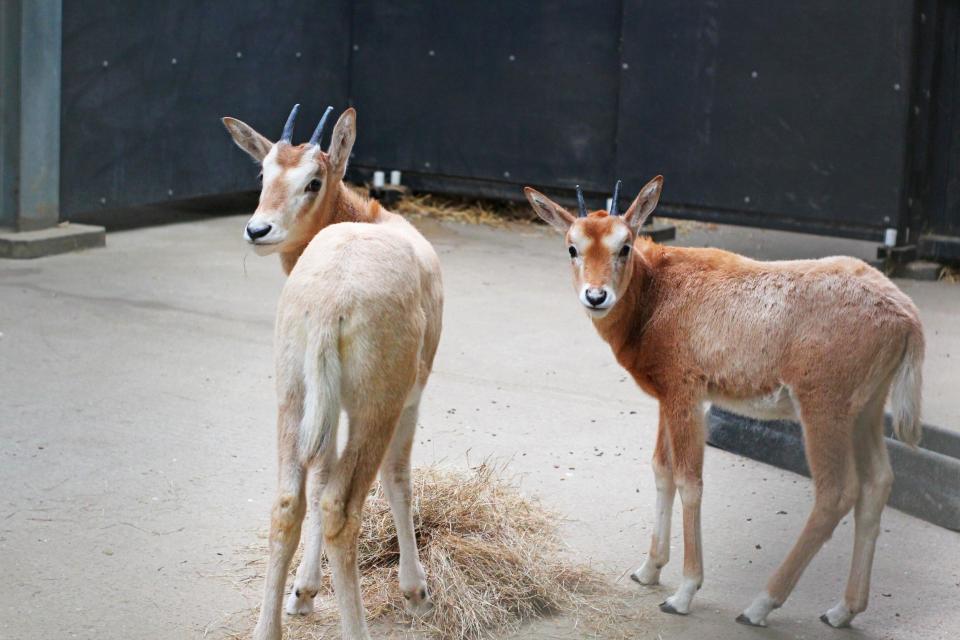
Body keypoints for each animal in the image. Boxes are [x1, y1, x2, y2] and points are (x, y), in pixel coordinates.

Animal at [221, 106, 442, 640]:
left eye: (312, 181)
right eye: (264, 174)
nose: (258, 230)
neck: (368, 219)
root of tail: (329, 303)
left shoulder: (324, 409)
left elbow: (319, 476)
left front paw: (303, 592)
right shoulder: (410, 399)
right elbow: (398, 478)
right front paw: (417, 593)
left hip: (292, 398)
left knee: (288, 503)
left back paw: (267, 628)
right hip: (375, 409)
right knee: (342, 507)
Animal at [524, 178, 924, 628]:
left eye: (624, 246)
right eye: (572, 248)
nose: (597, 296)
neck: (657, 294)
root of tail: (907, 316)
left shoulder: (686, 394)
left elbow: (689, 480)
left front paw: (683, 593)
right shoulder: (667, 398)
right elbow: (661, 470)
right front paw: (648, 570)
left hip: (825, 408)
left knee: (836, 493)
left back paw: (760, 605)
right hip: (866, 411)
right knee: (878, 484)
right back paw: (842, 610)